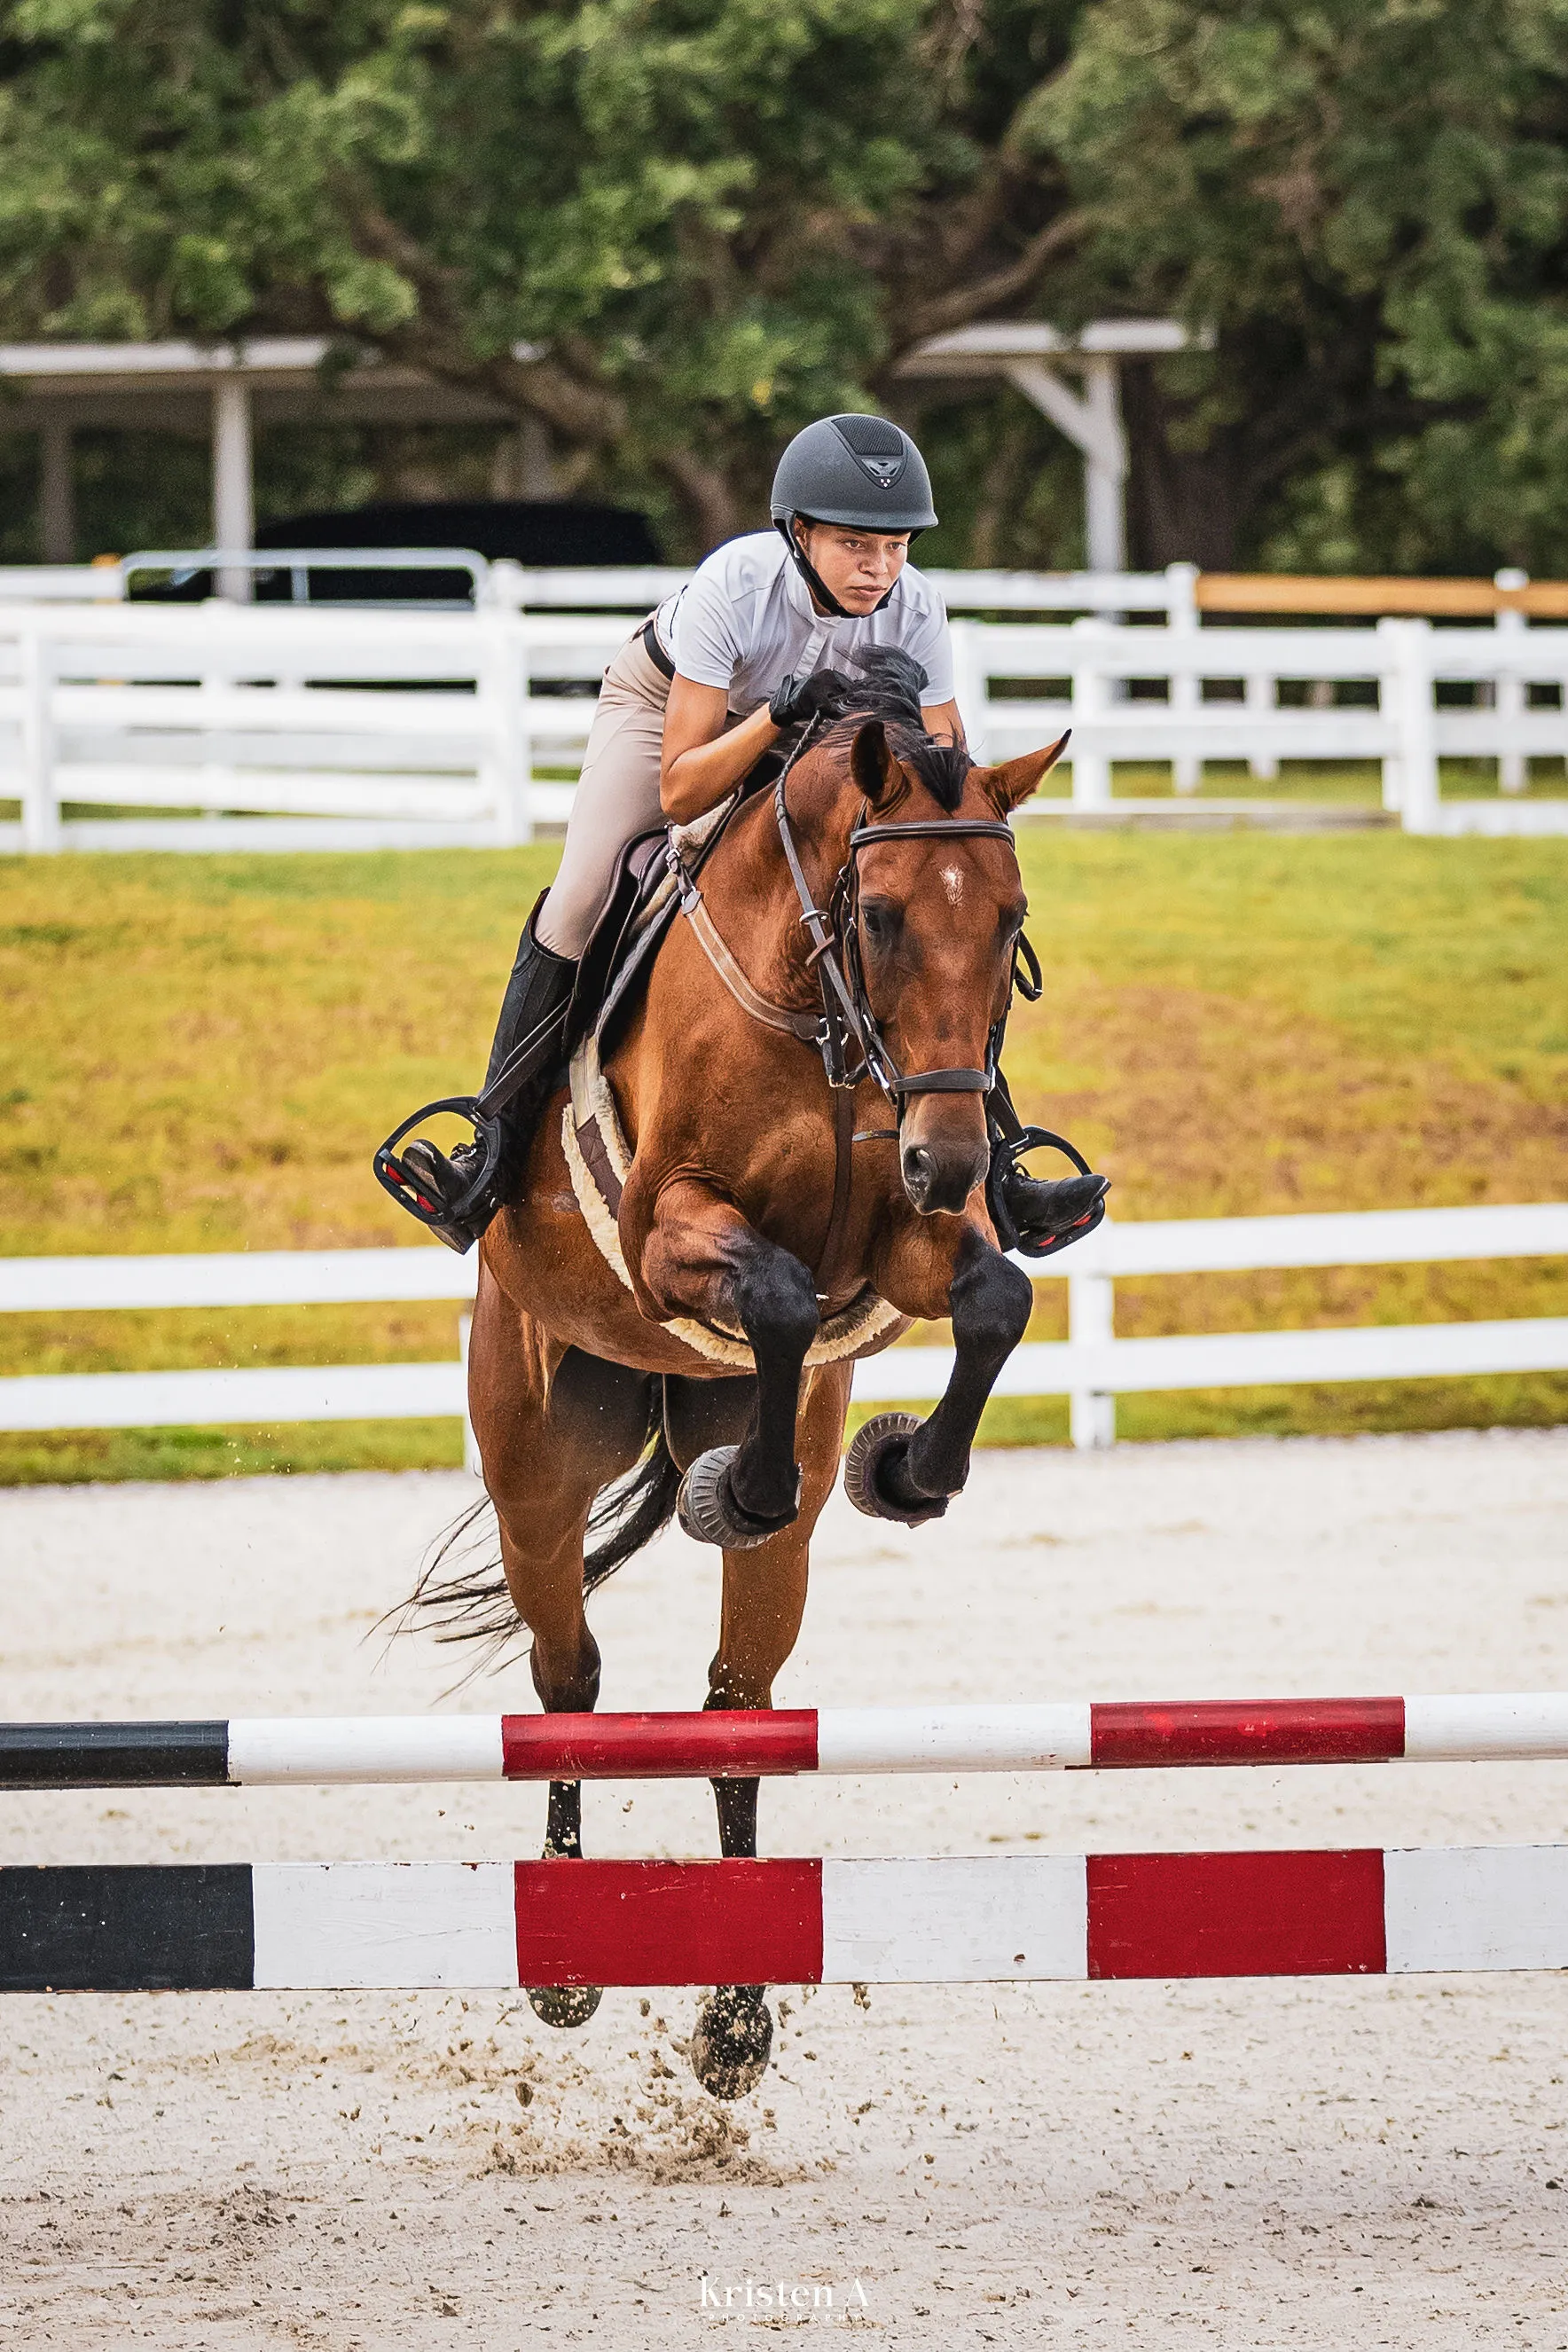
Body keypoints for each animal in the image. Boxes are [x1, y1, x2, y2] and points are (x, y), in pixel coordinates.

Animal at [407, 663, 1073, 2098]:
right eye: (878, 915)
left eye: (1010, 925)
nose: (951, 1154)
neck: (810, 1007)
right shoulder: (670, 1230)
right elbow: (765, 1291)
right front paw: (748, 1486)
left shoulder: (896, 1243)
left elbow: (992, 1297)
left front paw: (908, 1472)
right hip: (537, 1467)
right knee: (568, 1679)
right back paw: (566, 1968)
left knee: (736, 1707)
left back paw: (733, 2018)